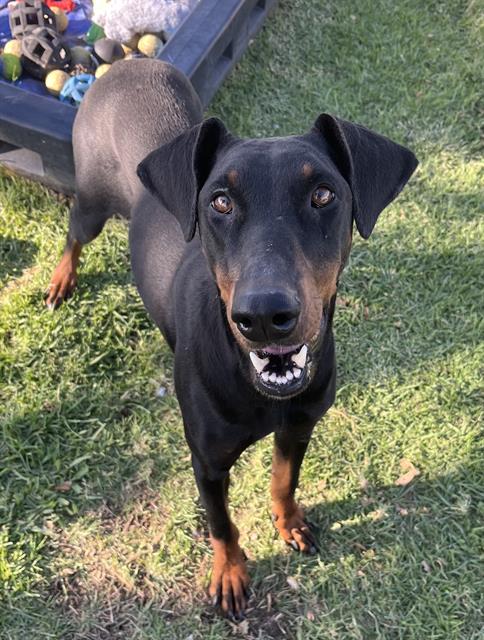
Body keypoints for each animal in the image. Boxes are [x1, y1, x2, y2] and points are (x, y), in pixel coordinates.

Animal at [44, 58, 416, 620]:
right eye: (219, 201)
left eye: (323, 194)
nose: (263, 315)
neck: (258, 390)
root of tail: (124, 63)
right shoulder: (207, 460)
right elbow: (221, 524)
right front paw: (229, 574)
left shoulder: (299, 425)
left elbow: (284, 479)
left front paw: (289, 523)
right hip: (90, 201)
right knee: (73, 235)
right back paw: (61, 279)